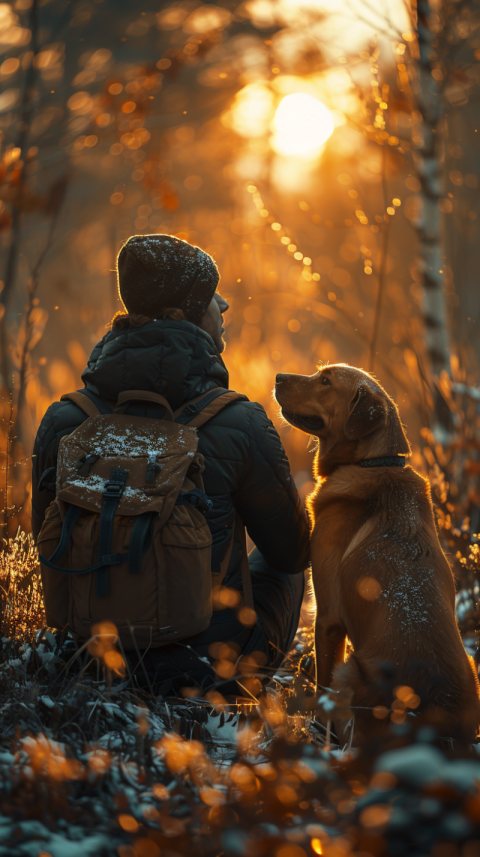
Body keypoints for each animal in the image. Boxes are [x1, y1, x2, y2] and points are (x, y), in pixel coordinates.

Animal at [274, 362, 480, 744]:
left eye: (325, 381)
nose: (278, 376)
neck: (373, 463)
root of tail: (434, 721)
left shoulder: (328, 615)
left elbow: (322, 683)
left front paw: (317, 730)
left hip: (349, 672)